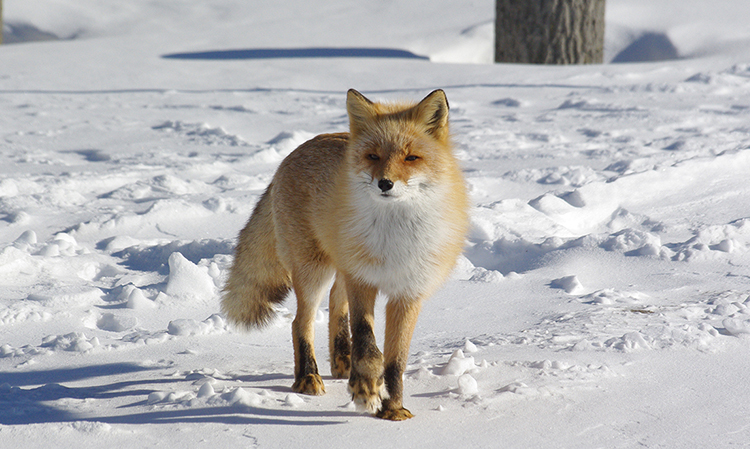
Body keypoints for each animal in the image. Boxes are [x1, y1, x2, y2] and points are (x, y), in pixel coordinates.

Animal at [222, 88, 470, 420]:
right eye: (373, 156)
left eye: (411, 157)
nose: (385, 183)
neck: (394, 240)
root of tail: (295, 152)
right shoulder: (363, 279)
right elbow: (367, 342)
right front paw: (365, 388)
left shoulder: (408, 292)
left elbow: (396, 361)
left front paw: (393, 409)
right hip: (314, 269)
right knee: (300, 322)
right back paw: (308, 377)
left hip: (340, 265)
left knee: (335, 302)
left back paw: (342, 361)